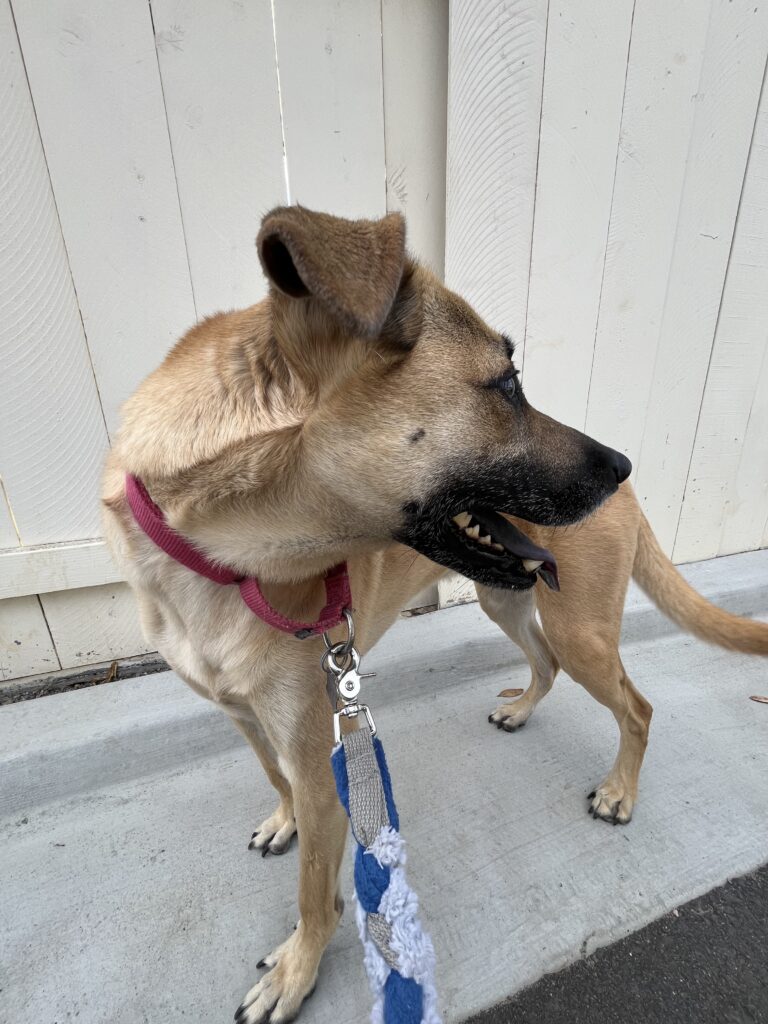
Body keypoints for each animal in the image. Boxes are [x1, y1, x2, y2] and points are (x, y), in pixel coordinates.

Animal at [102, 205, 768, 1023]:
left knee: (636, 707)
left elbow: (314, 890)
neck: (217, 561)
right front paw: (284, 823)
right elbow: (275, 782)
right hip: (505, 597)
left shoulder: (318, 754)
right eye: (507, 383)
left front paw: (296, 968)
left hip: (580, 630)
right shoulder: (247, 718)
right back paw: (522, 710)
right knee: (544, 662)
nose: (622, 467)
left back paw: (620, 792)